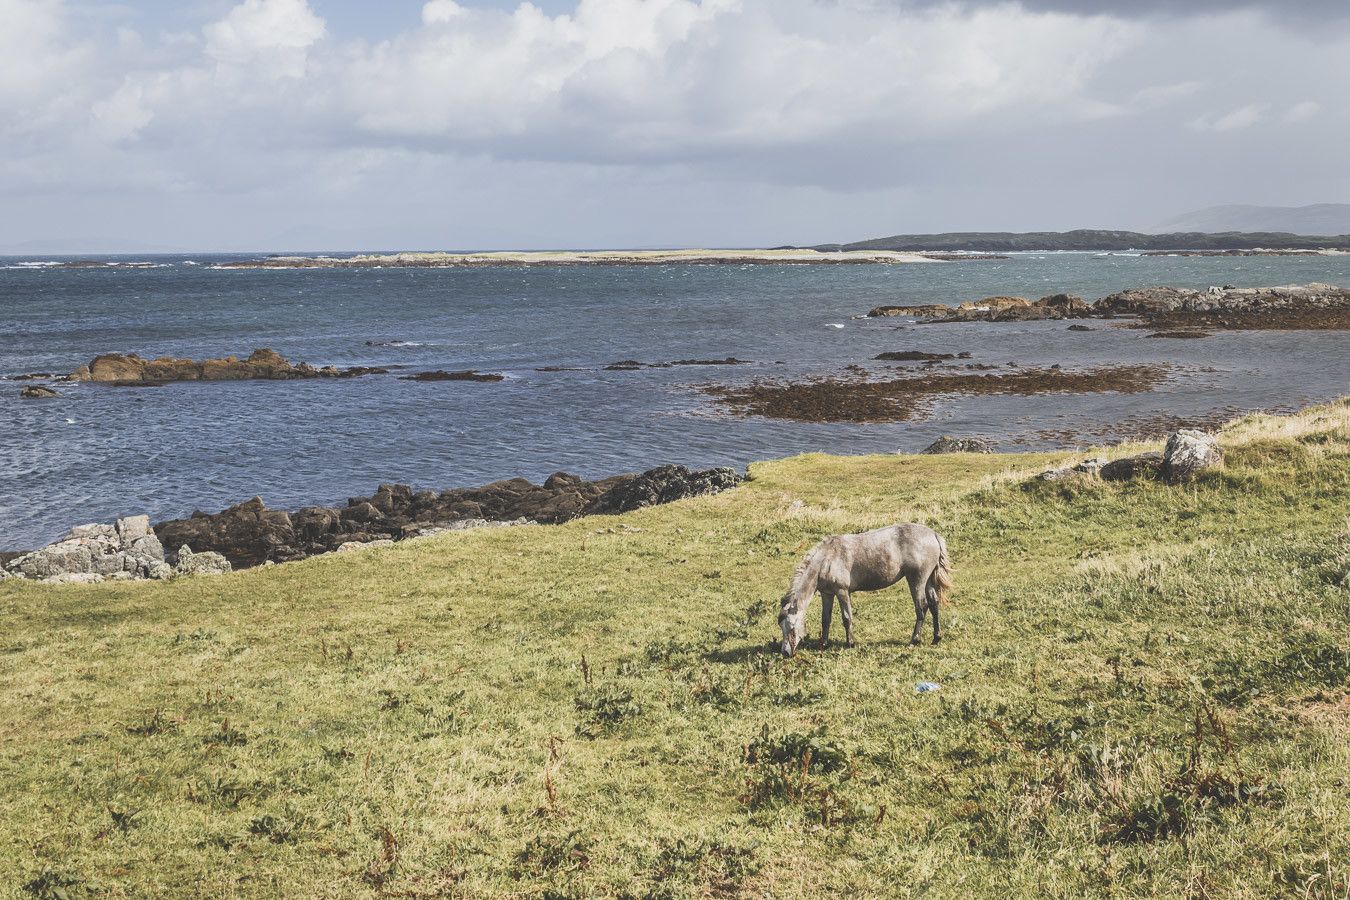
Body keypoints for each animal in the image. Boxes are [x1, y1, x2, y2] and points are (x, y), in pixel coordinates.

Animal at [777, 523, 955, 658]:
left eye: (792, 627)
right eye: (781, 627)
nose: (785, 652)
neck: (826, 559)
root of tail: (933, 534)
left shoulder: (842, 591)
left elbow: (846, 618)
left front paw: (850, 643)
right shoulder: (827, 594)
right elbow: (825, 619)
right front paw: (824, 644)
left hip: (917, 580)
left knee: (921, 607)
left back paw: (914, 640)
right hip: (928, 580)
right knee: (934, 604)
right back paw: (936, 638)